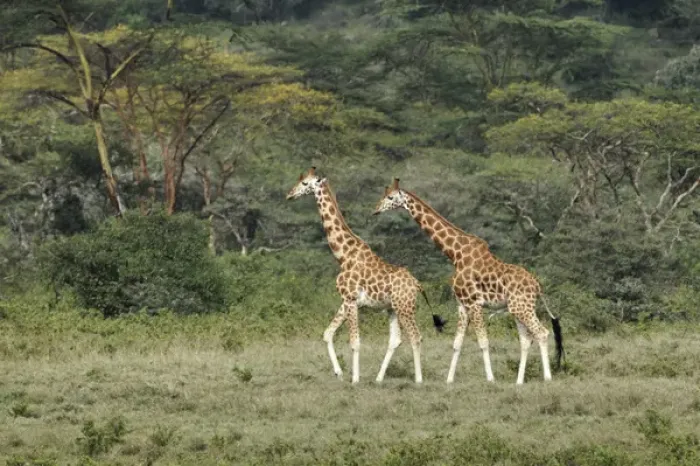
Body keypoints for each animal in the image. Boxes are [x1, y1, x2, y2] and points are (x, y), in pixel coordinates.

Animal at [287, 168, 430, 384]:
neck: (343, 255)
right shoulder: (347, 301)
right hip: (393, 308)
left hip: (405, 307)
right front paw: (339, 373)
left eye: (305, 183)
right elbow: (328, 334)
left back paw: (419, 380)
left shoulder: (351, 300)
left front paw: (354, 379)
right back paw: (379, 378)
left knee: (416, 336)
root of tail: (417, 285)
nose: (289, 195)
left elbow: (354, 341)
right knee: (396, 339)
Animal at [373, 178, 564, 385]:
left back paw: (547, 378)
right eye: (384, 195)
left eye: (390, 197)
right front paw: (449, 380)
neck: (455, 254)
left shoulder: (474, 303)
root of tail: (538, 286)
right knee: (527, 339)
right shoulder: (462, 304)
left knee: (542, 333)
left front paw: (490, 379)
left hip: (522, 307)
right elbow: (457, 343)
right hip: (518, 308)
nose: (375, 210)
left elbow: (483, 342)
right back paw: (519, 381)